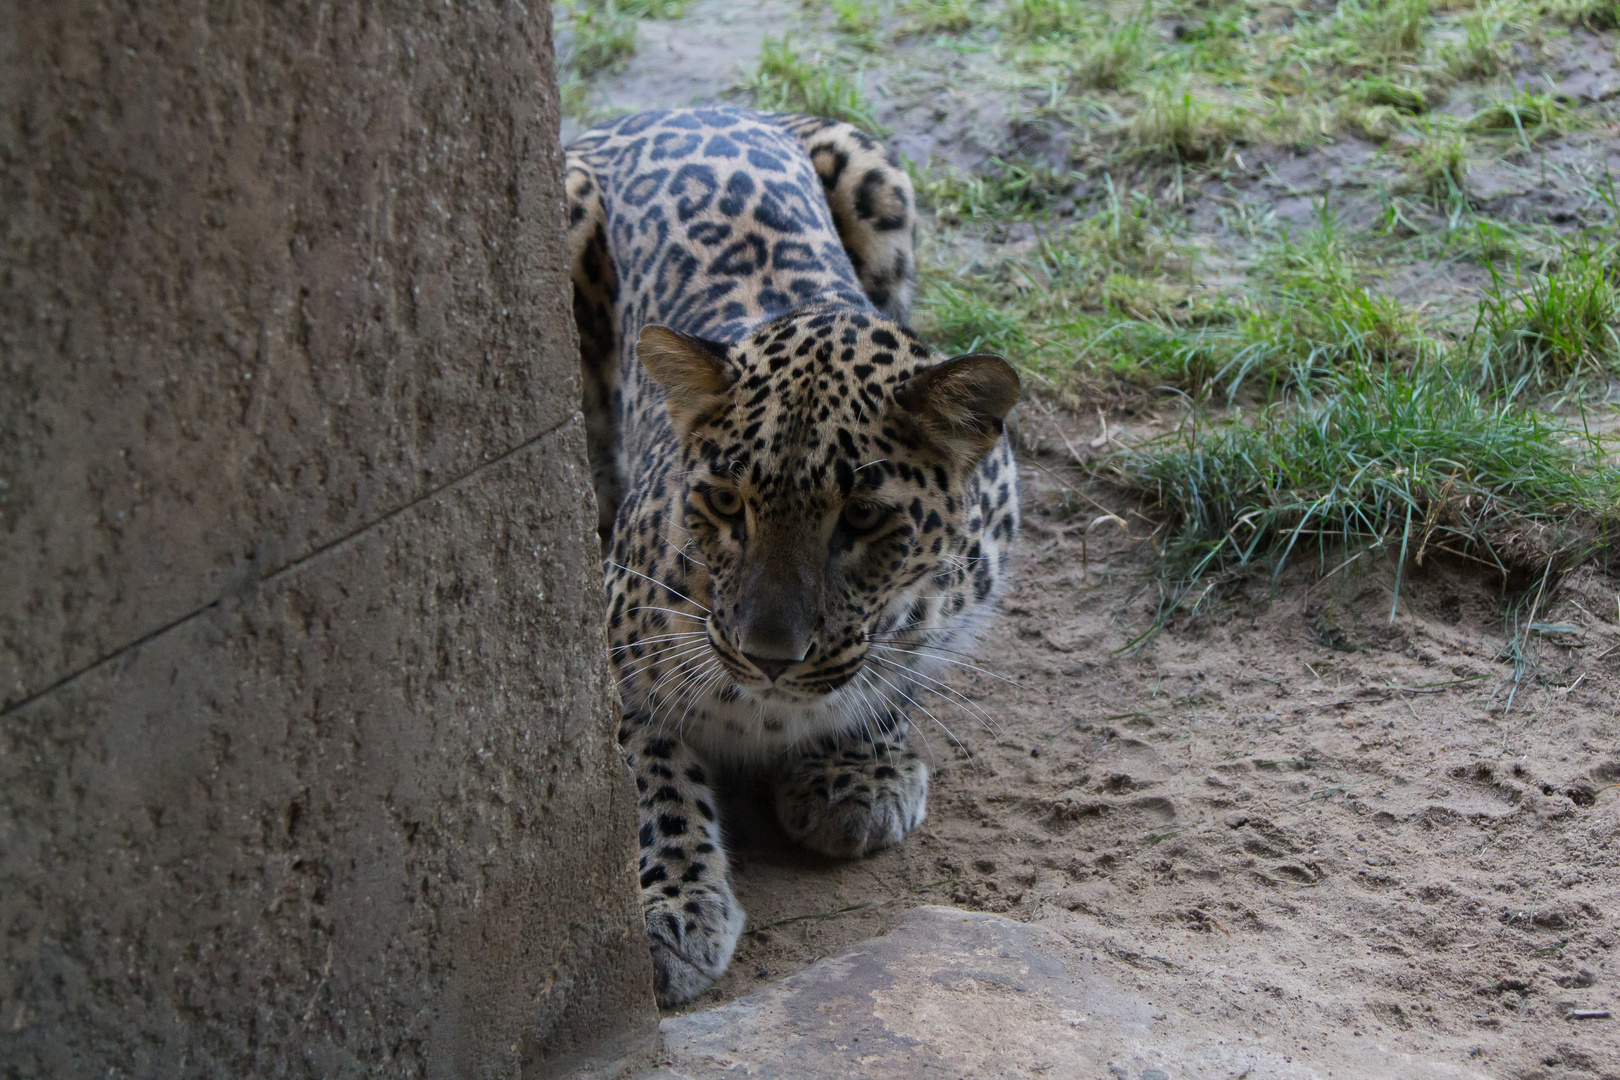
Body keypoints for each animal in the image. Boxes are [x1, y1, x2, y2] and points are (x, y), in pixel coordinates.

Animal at [563, 105, 1017, 1010]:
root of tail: (666, 105)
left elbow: (895, 664)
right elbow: (648, 782)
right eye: (724, 503)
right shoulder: (606, 644)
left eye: (864, 519)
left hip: (877, 180)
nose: (769, 656)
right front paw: (672, 912)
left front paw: (855, 776)